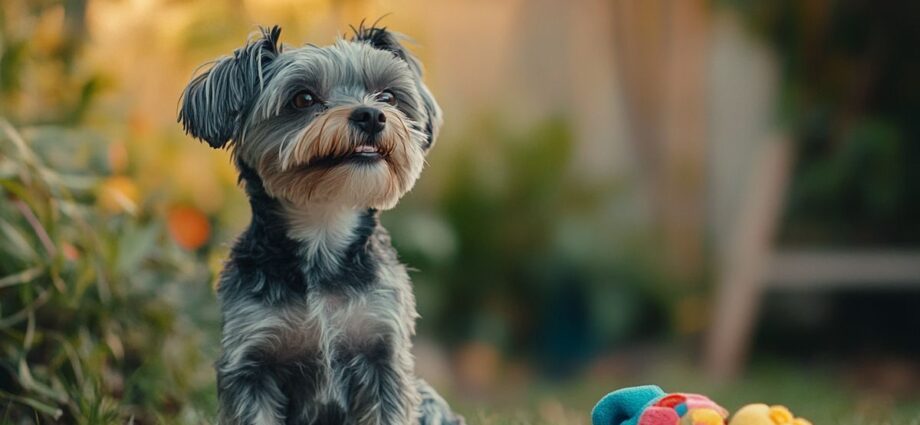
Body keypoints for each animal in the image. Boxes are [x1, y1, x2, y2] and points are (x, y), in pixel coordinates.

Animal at [179, 24, 464, 424]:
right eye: (303, 98)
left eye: (388, 95)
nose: (371, 115)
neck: (324, 230)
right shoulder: (252, 360)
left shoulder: (383, 353)